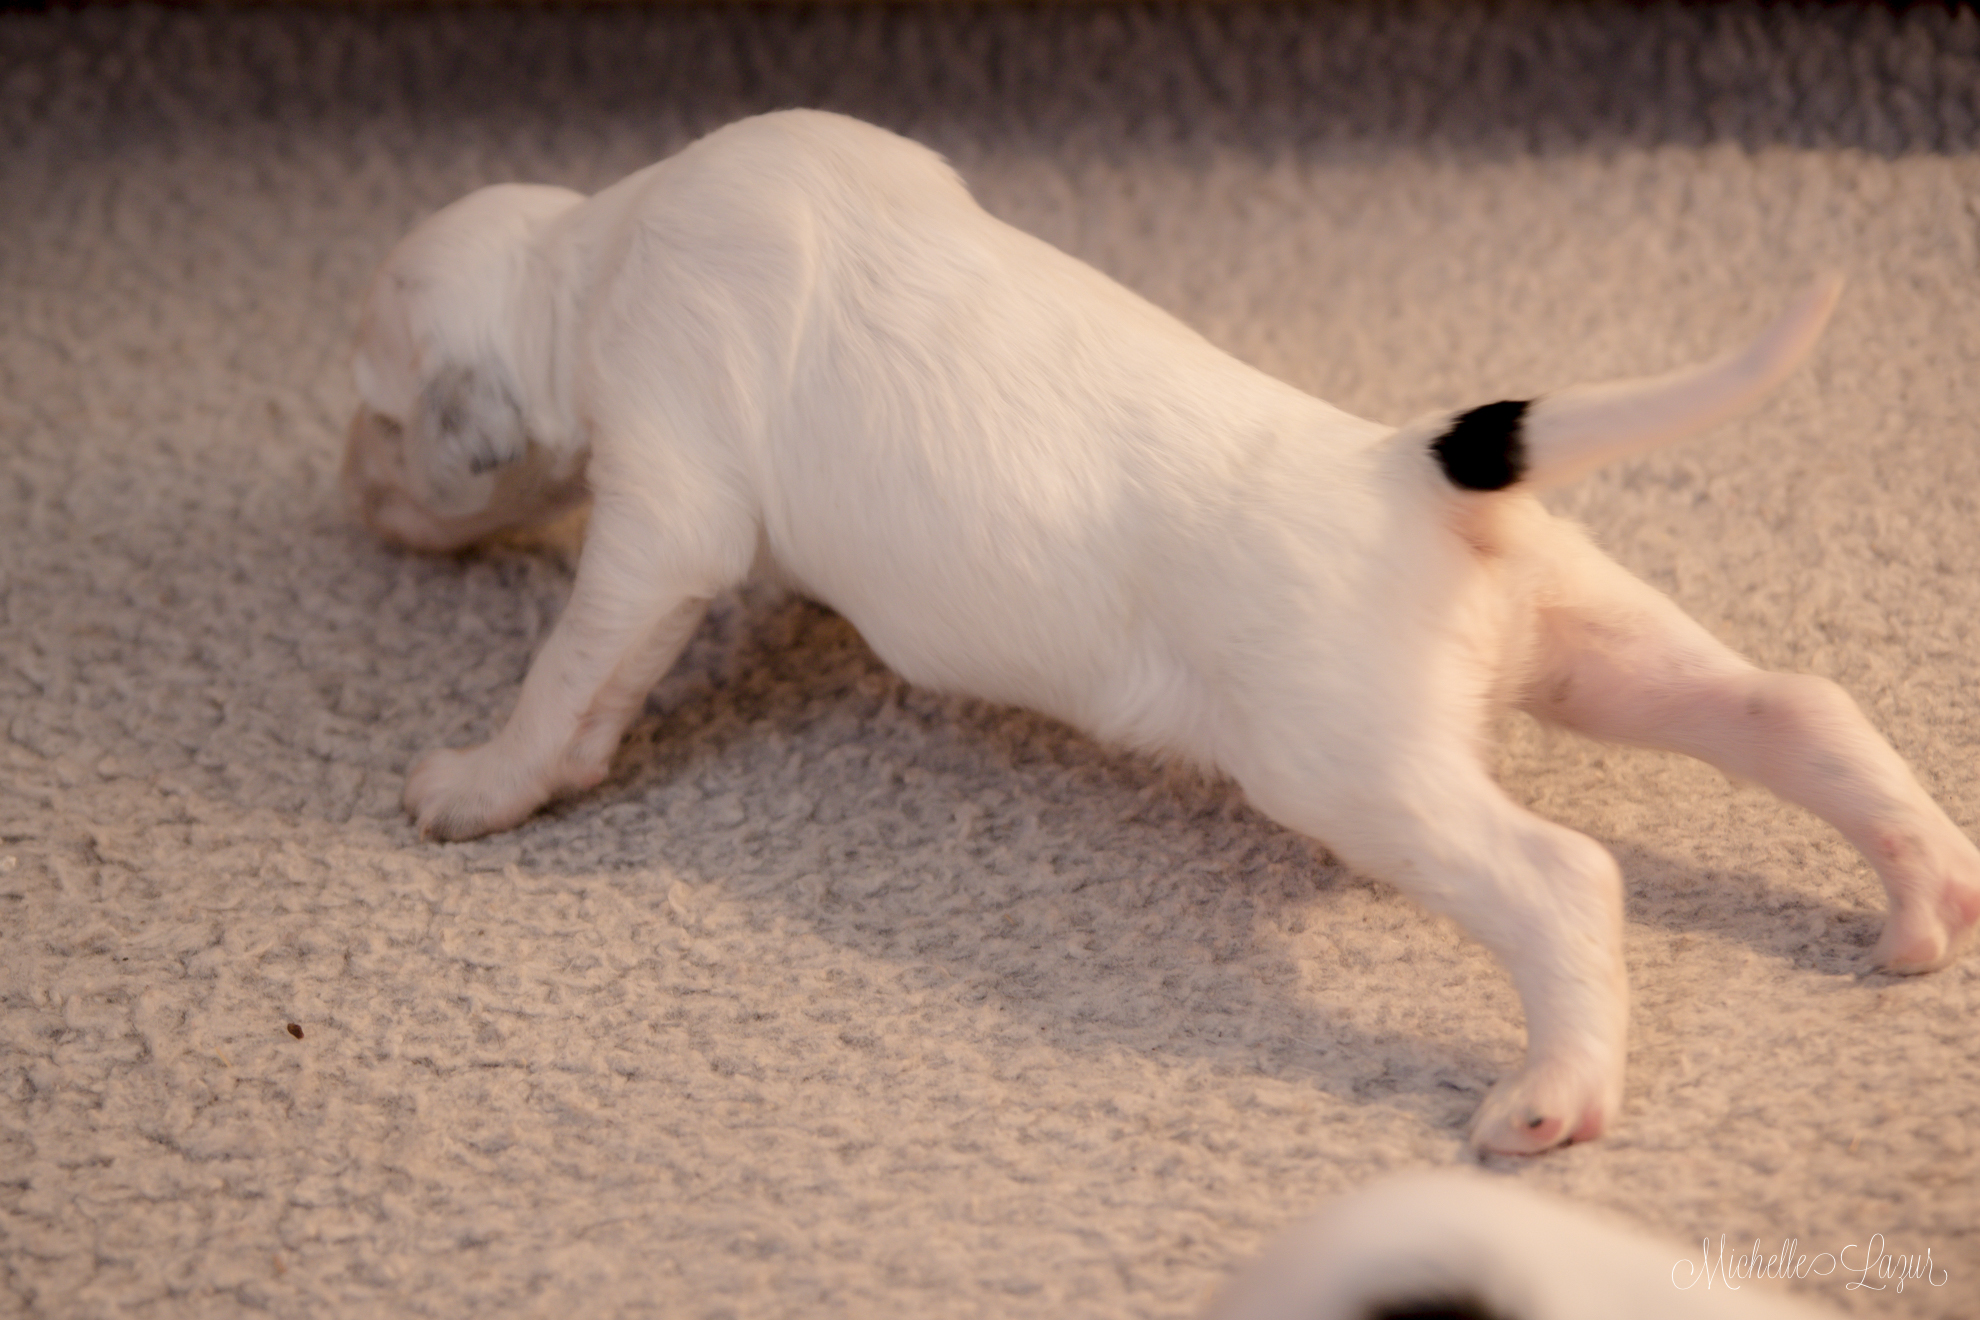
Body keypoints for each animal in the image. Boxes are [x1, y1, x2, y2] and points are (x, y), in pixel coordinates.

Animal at [340, 108, 1980, 1147]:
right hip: (1592, 637)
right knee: (1795, 707)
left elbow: (575, 673)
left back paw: (1553, 1097)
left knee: (1563, 878)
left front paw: (481, 783)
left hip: (1349, 768)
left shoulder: (661, 507)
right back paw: (1924, 900)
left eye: (377, 411)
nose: (349, 498)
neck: (600, 248)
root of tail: (1412, 466)